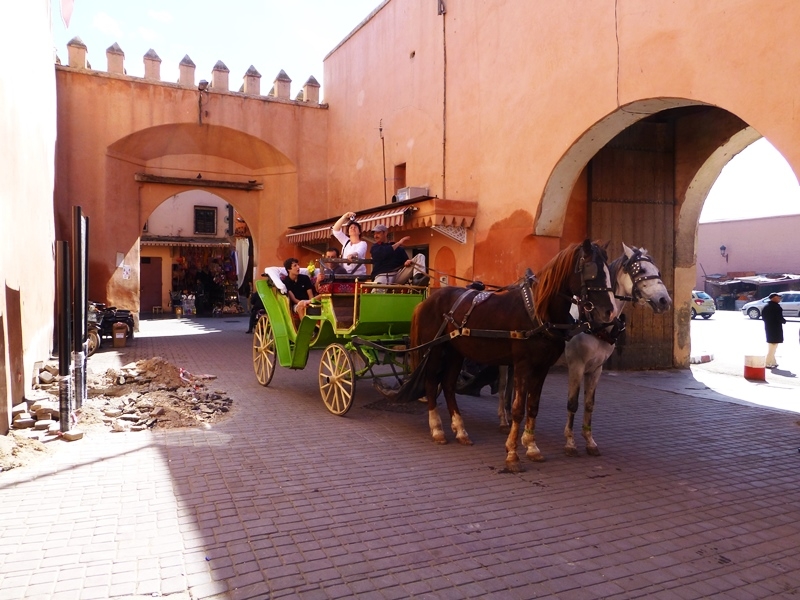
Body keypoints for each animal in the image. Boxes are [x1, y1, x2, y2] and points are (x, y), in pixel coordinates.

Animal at [410, 239, 616, 468]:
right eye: (591, 269)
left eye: (609, 271)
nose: (609, 312)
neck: (537, 313)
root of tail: (428, 300)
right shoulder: (522, 365)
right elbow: (517, 408)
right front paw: (512, 452)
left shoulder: (542, 367)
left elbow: (532, 406)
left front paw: (532, 447)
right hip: (435, 350)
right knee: (431, 383)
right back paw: (437, 428)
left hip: (455, 352)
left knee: (447, 385)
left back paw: (461, 430)